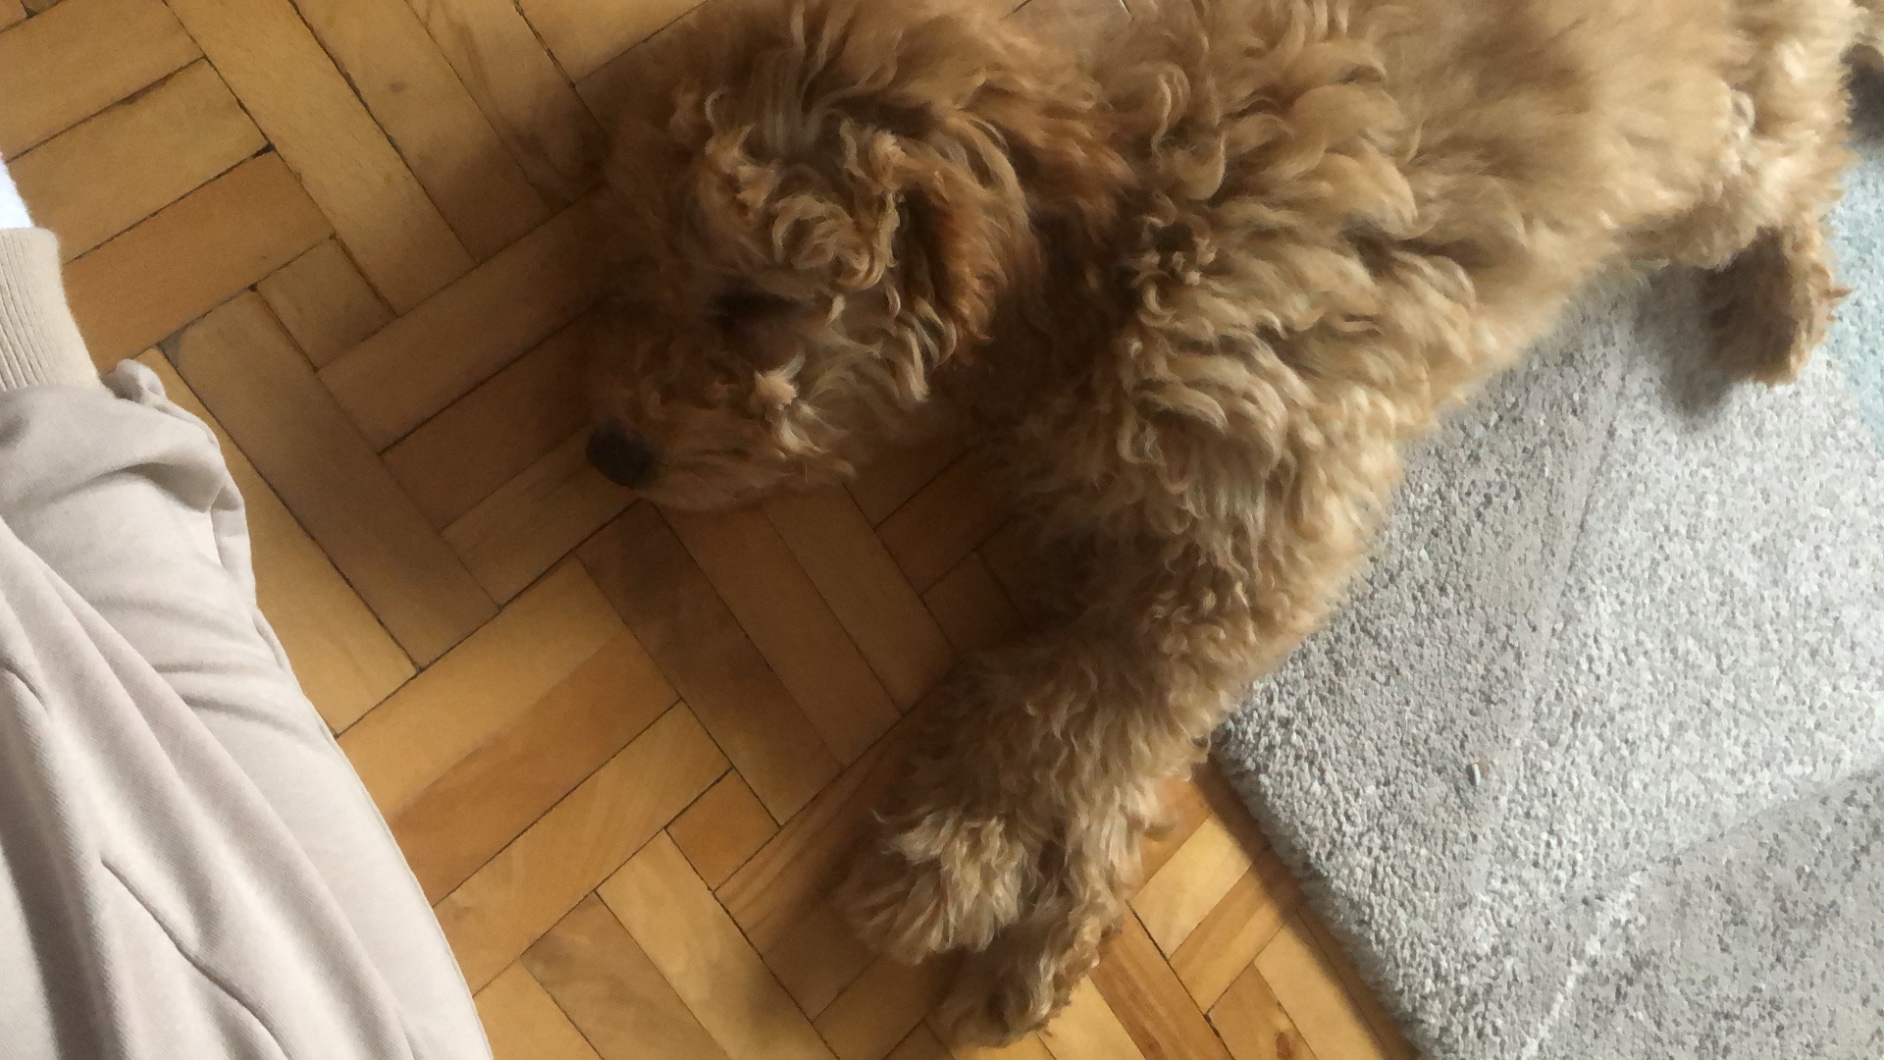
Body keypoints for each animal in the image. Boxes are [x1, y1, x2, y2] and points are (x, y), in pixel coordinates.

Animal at [583, 0, 1881, 1041]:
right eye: (642, 267)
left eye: (752, 303)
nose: (608, 448)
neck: (1137, 210)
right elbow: (1085, 698)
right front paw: (1034, 890)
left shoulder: (1261, 533)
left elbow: (1068, 706)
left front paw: (956, 859)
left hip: (1715, 162)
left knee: (1807, 151)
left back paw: (1783, 300)